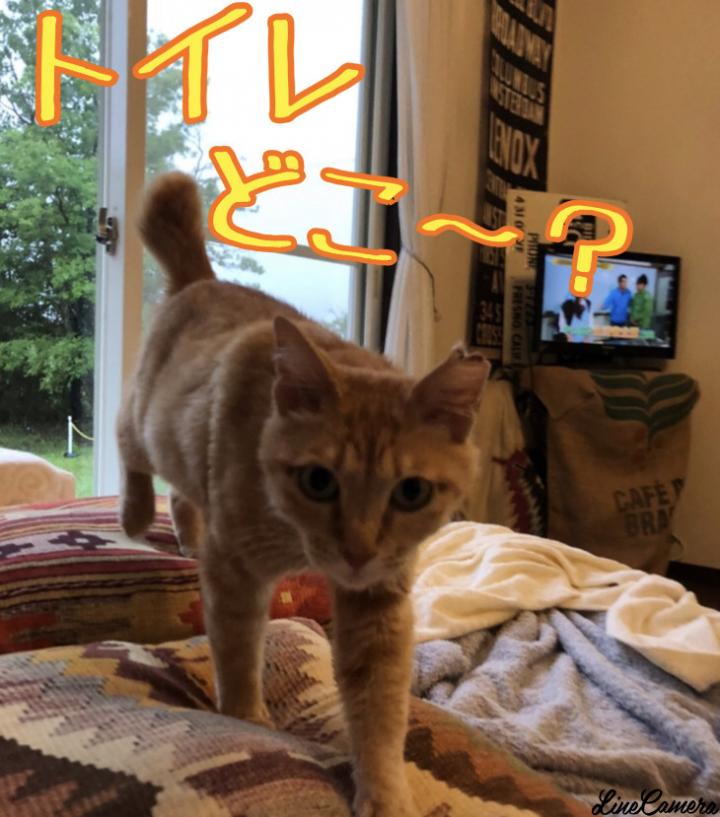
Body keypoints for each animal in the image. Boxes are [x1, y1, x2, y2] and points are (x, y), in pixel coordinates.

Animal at [117, 172, 490, 817]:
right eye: (319, 481)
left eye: (412, 492)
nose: (358, 551)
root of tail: (202, 280)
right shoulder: (236, 572)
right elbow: (237, 649)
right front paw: (245, 718)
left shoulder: (379, 601)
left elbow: (380, 709)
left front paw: (385, 792)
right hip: (149, 424)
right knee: (124, 438)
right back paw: (135, 515)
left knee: (187, 497)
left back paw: (186, 536)